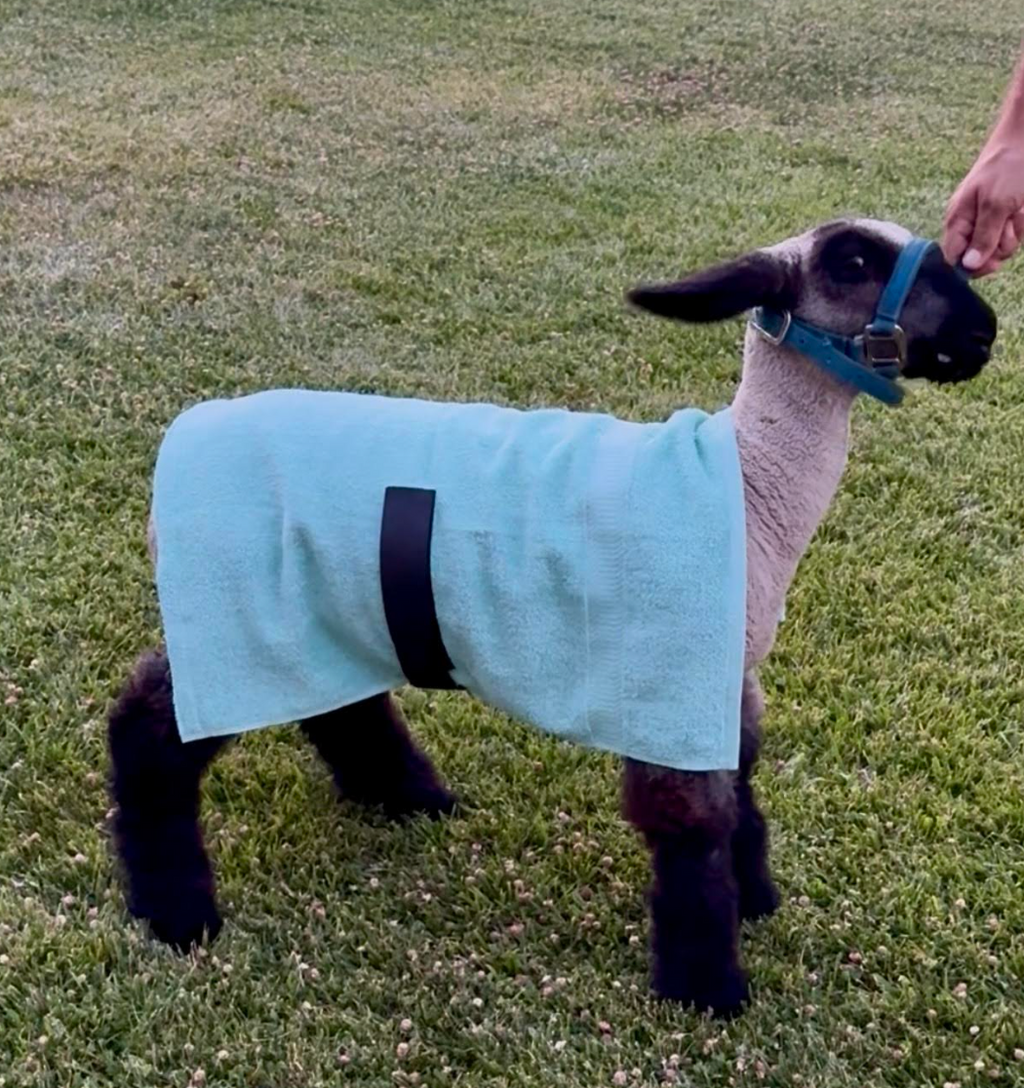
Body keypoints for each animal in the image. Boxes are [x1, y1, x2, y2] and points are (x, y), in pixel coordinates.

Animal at [107, 218, 996, 1017]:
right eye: (854, 262)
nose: (984, 330)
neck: (749, 490)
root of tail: (179, 444)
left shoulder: (723, 676)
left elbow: (742, 789)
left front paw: (757, 900)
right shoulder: (668, 677)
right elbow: (692, 828)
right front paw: (707, 987)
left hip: (324, 607)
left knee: (340, 706)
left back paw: (411, 799)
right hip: (232, 609)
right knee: (151, 730)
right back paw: (176, 913)